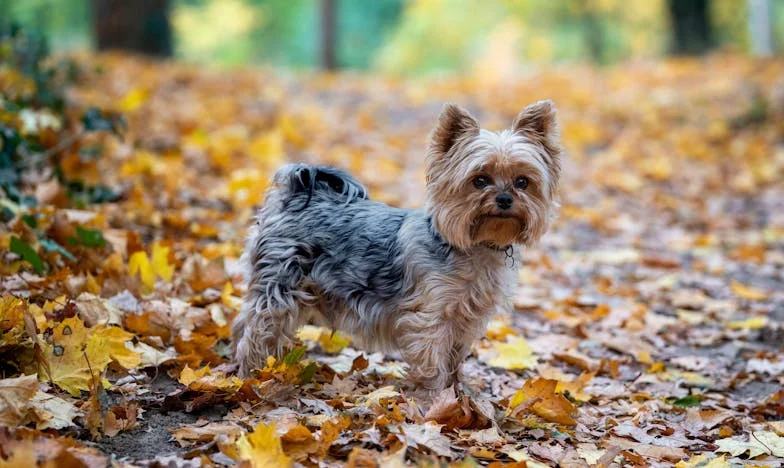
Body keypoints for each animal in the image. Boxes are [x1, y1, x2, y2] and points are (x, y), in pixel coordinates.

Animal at [230, 100, 560, 390]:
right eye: (479, 180)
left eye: (522, 182)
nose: (504, 199)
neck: (474, 245)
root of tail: (297, 193)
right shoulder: (430, 318)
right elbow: (433, 365)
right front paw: (437, 403)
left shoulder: (466, 320)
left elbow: (454, 361)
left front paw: (459, 397)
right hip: (281, 287)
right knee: (257, 330)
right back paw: (251, 376)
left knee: (243, 322)